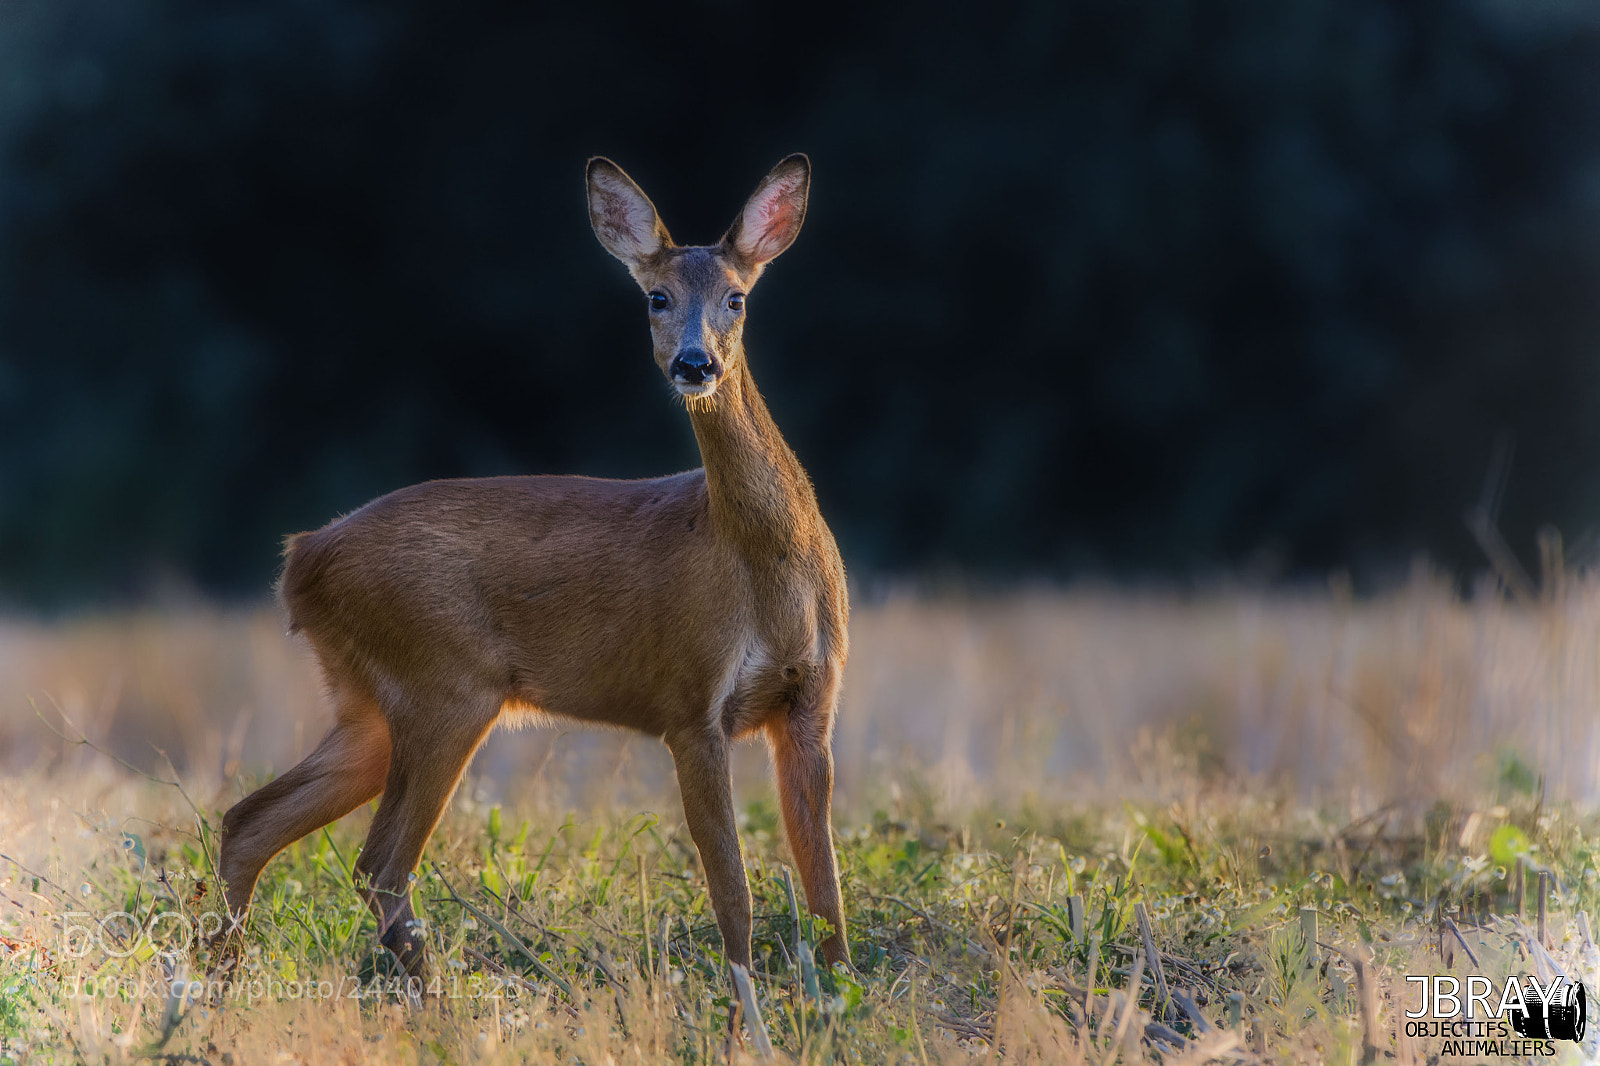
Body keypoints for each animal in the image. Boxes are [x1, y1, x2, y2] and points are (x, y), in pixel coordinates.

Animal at [211, 154, 851, 987]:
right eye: (656, 297)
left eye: (737, 297)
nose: (694, 363)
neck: (766, 573)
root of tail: (303, 557)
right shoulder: (687, 702)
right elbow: (732, 892)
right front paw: (749, 1011)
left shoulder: (813, 703)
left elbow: (827, 894)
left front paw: (839, 998)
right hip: (444, 687)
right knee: (378, 864)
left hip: (367, 706)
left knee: (249, 822)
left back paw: (212, 981)